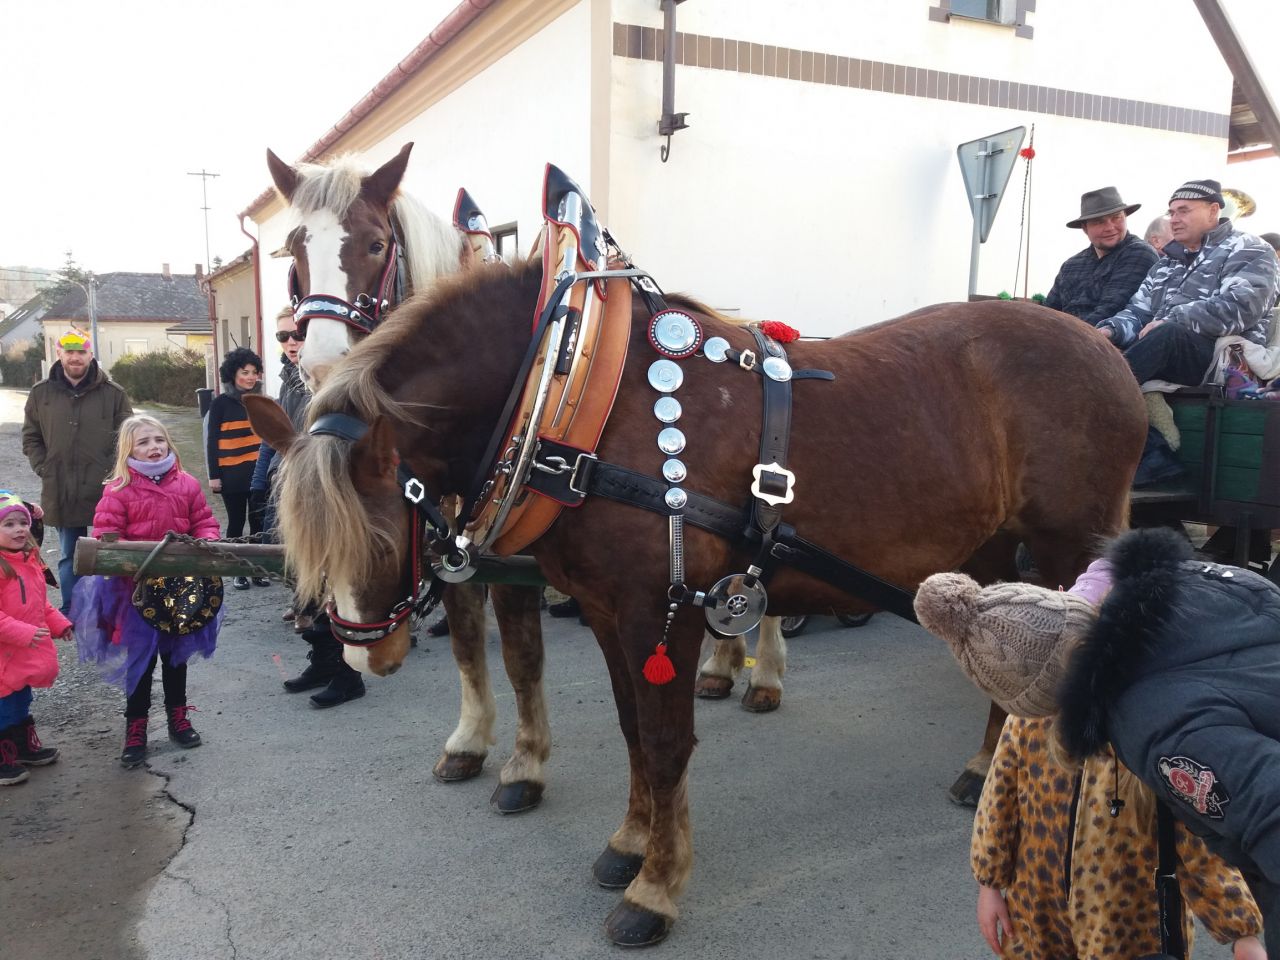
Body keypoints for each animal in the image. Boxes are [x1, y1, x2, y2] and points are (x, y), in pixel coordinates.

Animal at [260, 242, 1147, 944]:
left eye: (377, 540)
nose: (362, 654)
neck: (578, 397)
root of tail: (1106, 350)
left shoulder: (667, 609)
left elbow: (663, 743)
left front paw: (655, 887)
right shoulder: (610, 611)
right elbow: (631, 733)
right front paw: (629, 843)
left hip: (1070, 545)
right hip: (990, 546)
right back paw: (982, 766)